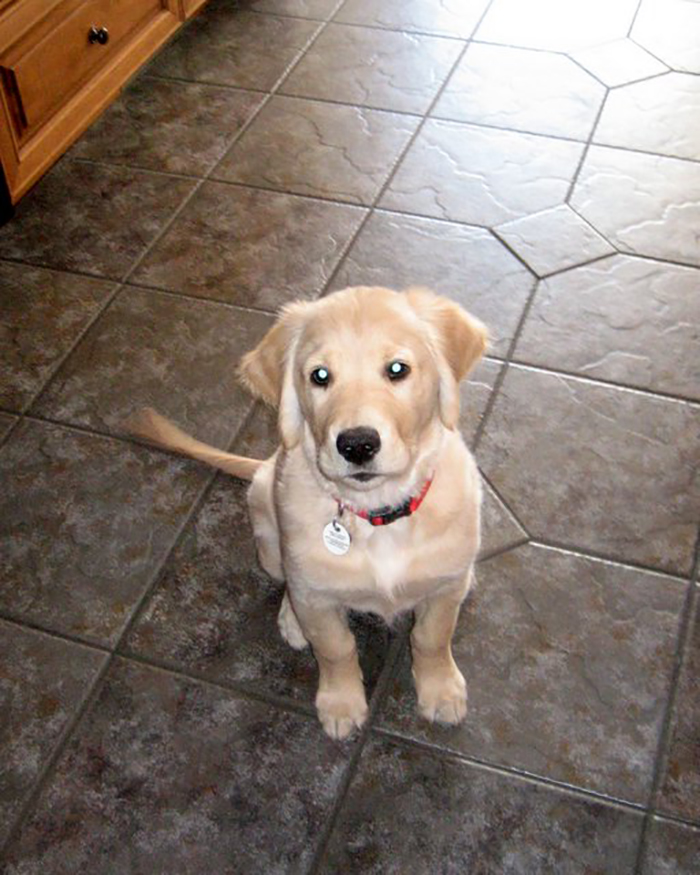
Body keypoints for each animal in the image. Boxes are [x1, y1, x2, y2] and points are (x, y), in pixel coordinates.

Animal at [129, 286, 487, 739]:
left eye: (397, 369)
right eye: (320, 376)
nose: (357, 445)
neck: (375, 515)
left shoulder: (442, 590)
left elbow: (432, 638)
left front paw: (440, 690)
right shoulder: (316, 596)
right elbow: (335, 648)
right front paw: (341, 703)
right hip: (266, 520)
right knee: (287, 580)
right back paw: (291, 618)